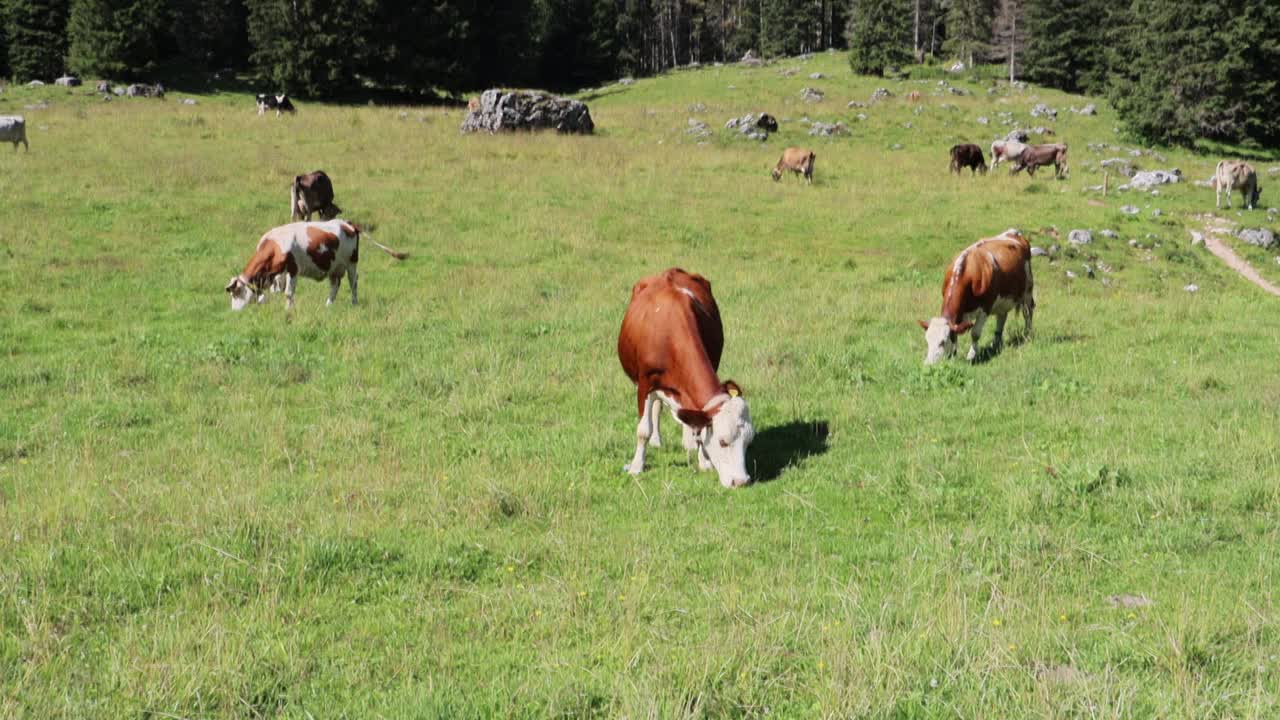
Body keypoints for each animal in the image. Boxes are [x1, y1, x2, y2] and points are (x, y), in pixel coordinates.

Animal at [225, 217, 404, 310]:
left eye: (237, 292)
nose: (235, 312)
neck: (276, 244)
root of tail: (348, 223)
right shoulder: (276, 273)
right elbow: (275, 290)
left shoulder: (293, 269)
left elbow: (288, 293)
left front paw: (288, 310)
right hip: (334, 267)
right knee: (335, 285)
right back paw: (328, 305)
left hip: (351, 263)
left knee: (353, 282)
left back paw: (354, 303)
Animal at [616, 266, 752, 484]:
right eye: (722, 442)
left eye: (748, 442)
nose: (742, 481)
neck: (669, 334)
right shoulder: (645, 382)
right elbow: (643, 430)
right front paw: (637, 466)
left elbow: (698, 425)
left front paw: (704, 461)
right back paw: (656, 441)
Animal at [916, 228, 1034, 363]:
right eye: (927, 340)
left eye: (943, 342)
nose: (928, 364)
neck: (967, 274)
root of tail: (1014, 232)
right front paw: (954, 354)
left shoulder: (985, 308)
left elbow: (975, 333)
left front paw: (971, 355)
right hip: (1003, 299)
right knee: (1002, 317)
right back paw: (996, 343)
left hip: (1028, 289)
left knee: (1028, 312)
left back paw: (1028, 333)